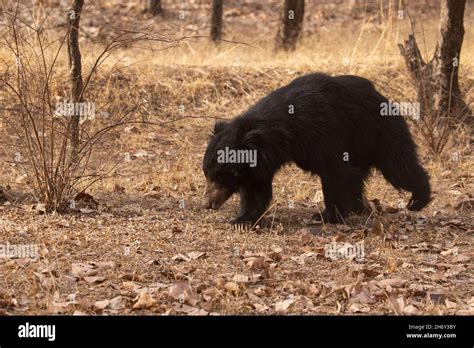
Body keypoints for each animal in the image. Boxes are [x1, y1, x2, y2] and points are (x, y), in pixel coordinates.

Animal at [202, 73, 432, 226]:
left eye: (222, 176)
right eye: (209, 175)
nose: (208, 204)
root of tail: (383, 97)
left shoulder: (323, 133)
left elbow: (335, 172)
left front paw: (329, 216)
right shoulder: (261, 160)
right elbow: (255, 187)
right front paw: (242, 219)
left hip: (380, 133)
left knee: (398, 167)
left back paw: (418, 200)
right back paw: (360, 207)